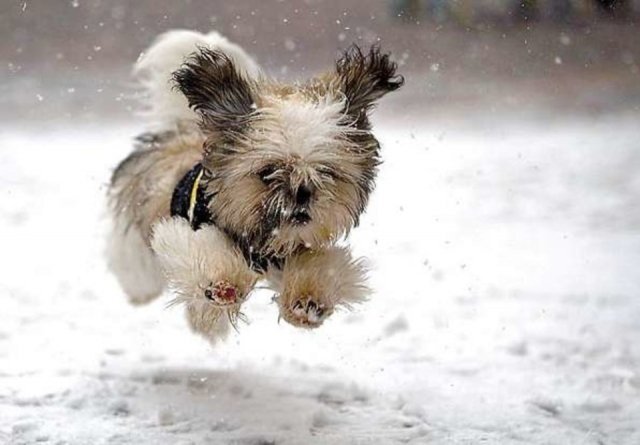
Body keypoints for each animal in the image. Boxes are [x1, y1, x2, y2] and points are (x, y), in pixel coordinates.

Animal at [107, 30, 402, 344]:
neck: (261, 243)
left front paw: (308, 301)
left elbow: (324, 265)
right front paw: (222, 284)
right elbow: (206, 253)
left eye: (325, 171)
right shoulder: (185, 230)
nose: (302, 193)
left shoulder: (298, 251)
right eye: (268, 171)